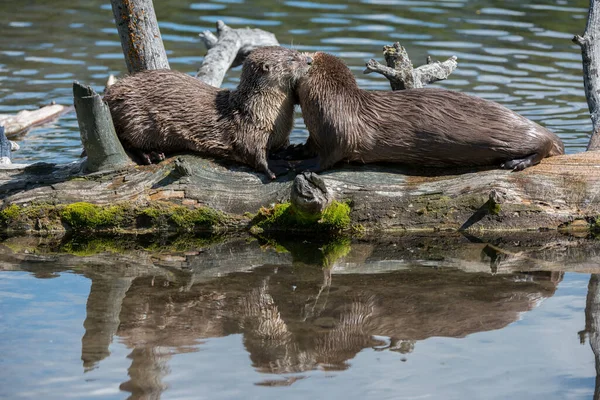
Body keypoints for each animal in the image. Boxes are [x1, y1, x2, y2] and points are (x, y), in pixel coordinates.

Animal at [103, 46, 312, 179]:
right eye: (292, 59)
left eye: (297, 52)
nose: (310, 60)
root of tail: (111, 93)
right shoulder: (249, 128)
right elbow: (253, 153)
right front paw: (274, 167)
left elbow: (279, 148)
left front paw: (292, 151)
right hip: (134, 116)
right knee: (126, 139)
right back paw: (151, 154)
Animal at [298, 50, 564, 171]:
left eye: (304, 57)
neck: (335, 101)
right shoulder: (317, 132)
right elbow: (312, 144)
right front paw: (294, 152)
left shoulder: (341, 129)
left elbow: (333, 153)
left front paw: (303, 166)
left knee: (543, 143)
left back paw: (516, 162)